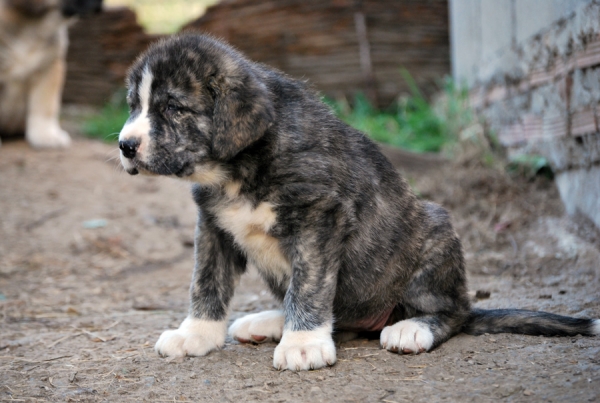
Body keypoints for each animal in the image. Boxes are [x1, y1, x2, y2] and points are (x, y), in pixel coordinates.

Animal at [118, 34, 600, 372]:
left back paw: (410, 328)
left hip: (435, 231)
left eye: (174, 108)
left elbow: (310, 286)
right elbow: (207, 283)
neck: (237, 167)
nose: (125, 145)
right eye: (133, 105)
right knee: (339, 315)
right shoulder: (214, 226)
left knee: (454, 312)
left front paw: (303, 344)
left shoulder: (319, 219)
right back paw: (271, 321)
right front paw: (196, 334)